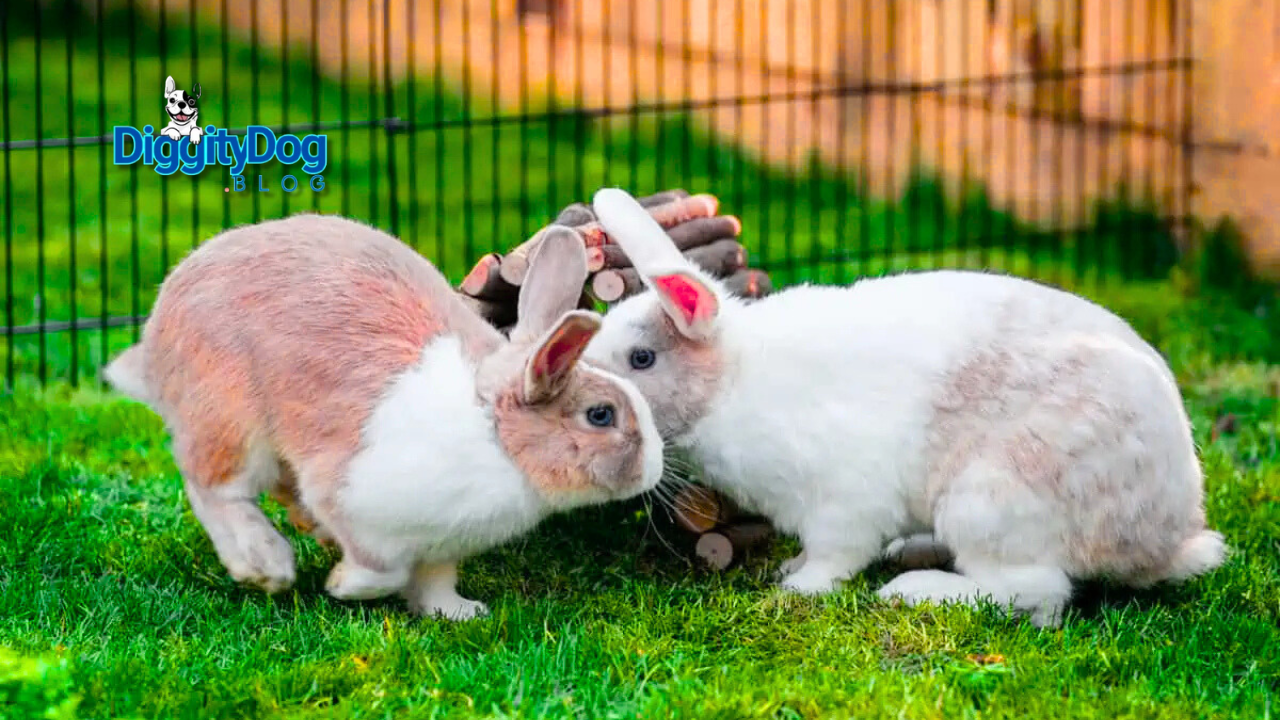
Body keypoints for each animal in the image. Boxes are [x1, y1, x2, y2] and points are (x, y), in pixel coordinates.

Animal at [103, 214, 663, 620]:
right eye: (600, 415)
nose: (654, 469)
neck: (495, 435)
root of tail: (157, 333)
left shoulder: (442, 546)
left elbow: (434, 582)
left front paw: (459, 613)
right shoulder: (353, 501)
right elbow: (383, 572)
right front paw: (343, 586)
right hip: (229, 419)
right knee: (214, 488)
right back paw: (266, 565)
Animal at [582, 187, 1226, 627]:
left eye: (642, 358)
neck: (734, 380)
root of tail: (1168, 536)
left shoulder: (842, 503)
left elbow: (834, 556)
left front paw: (797, 586)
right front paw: (789, 570)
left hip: (991, 500)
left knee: (1035, 595)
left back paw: (914, 591)